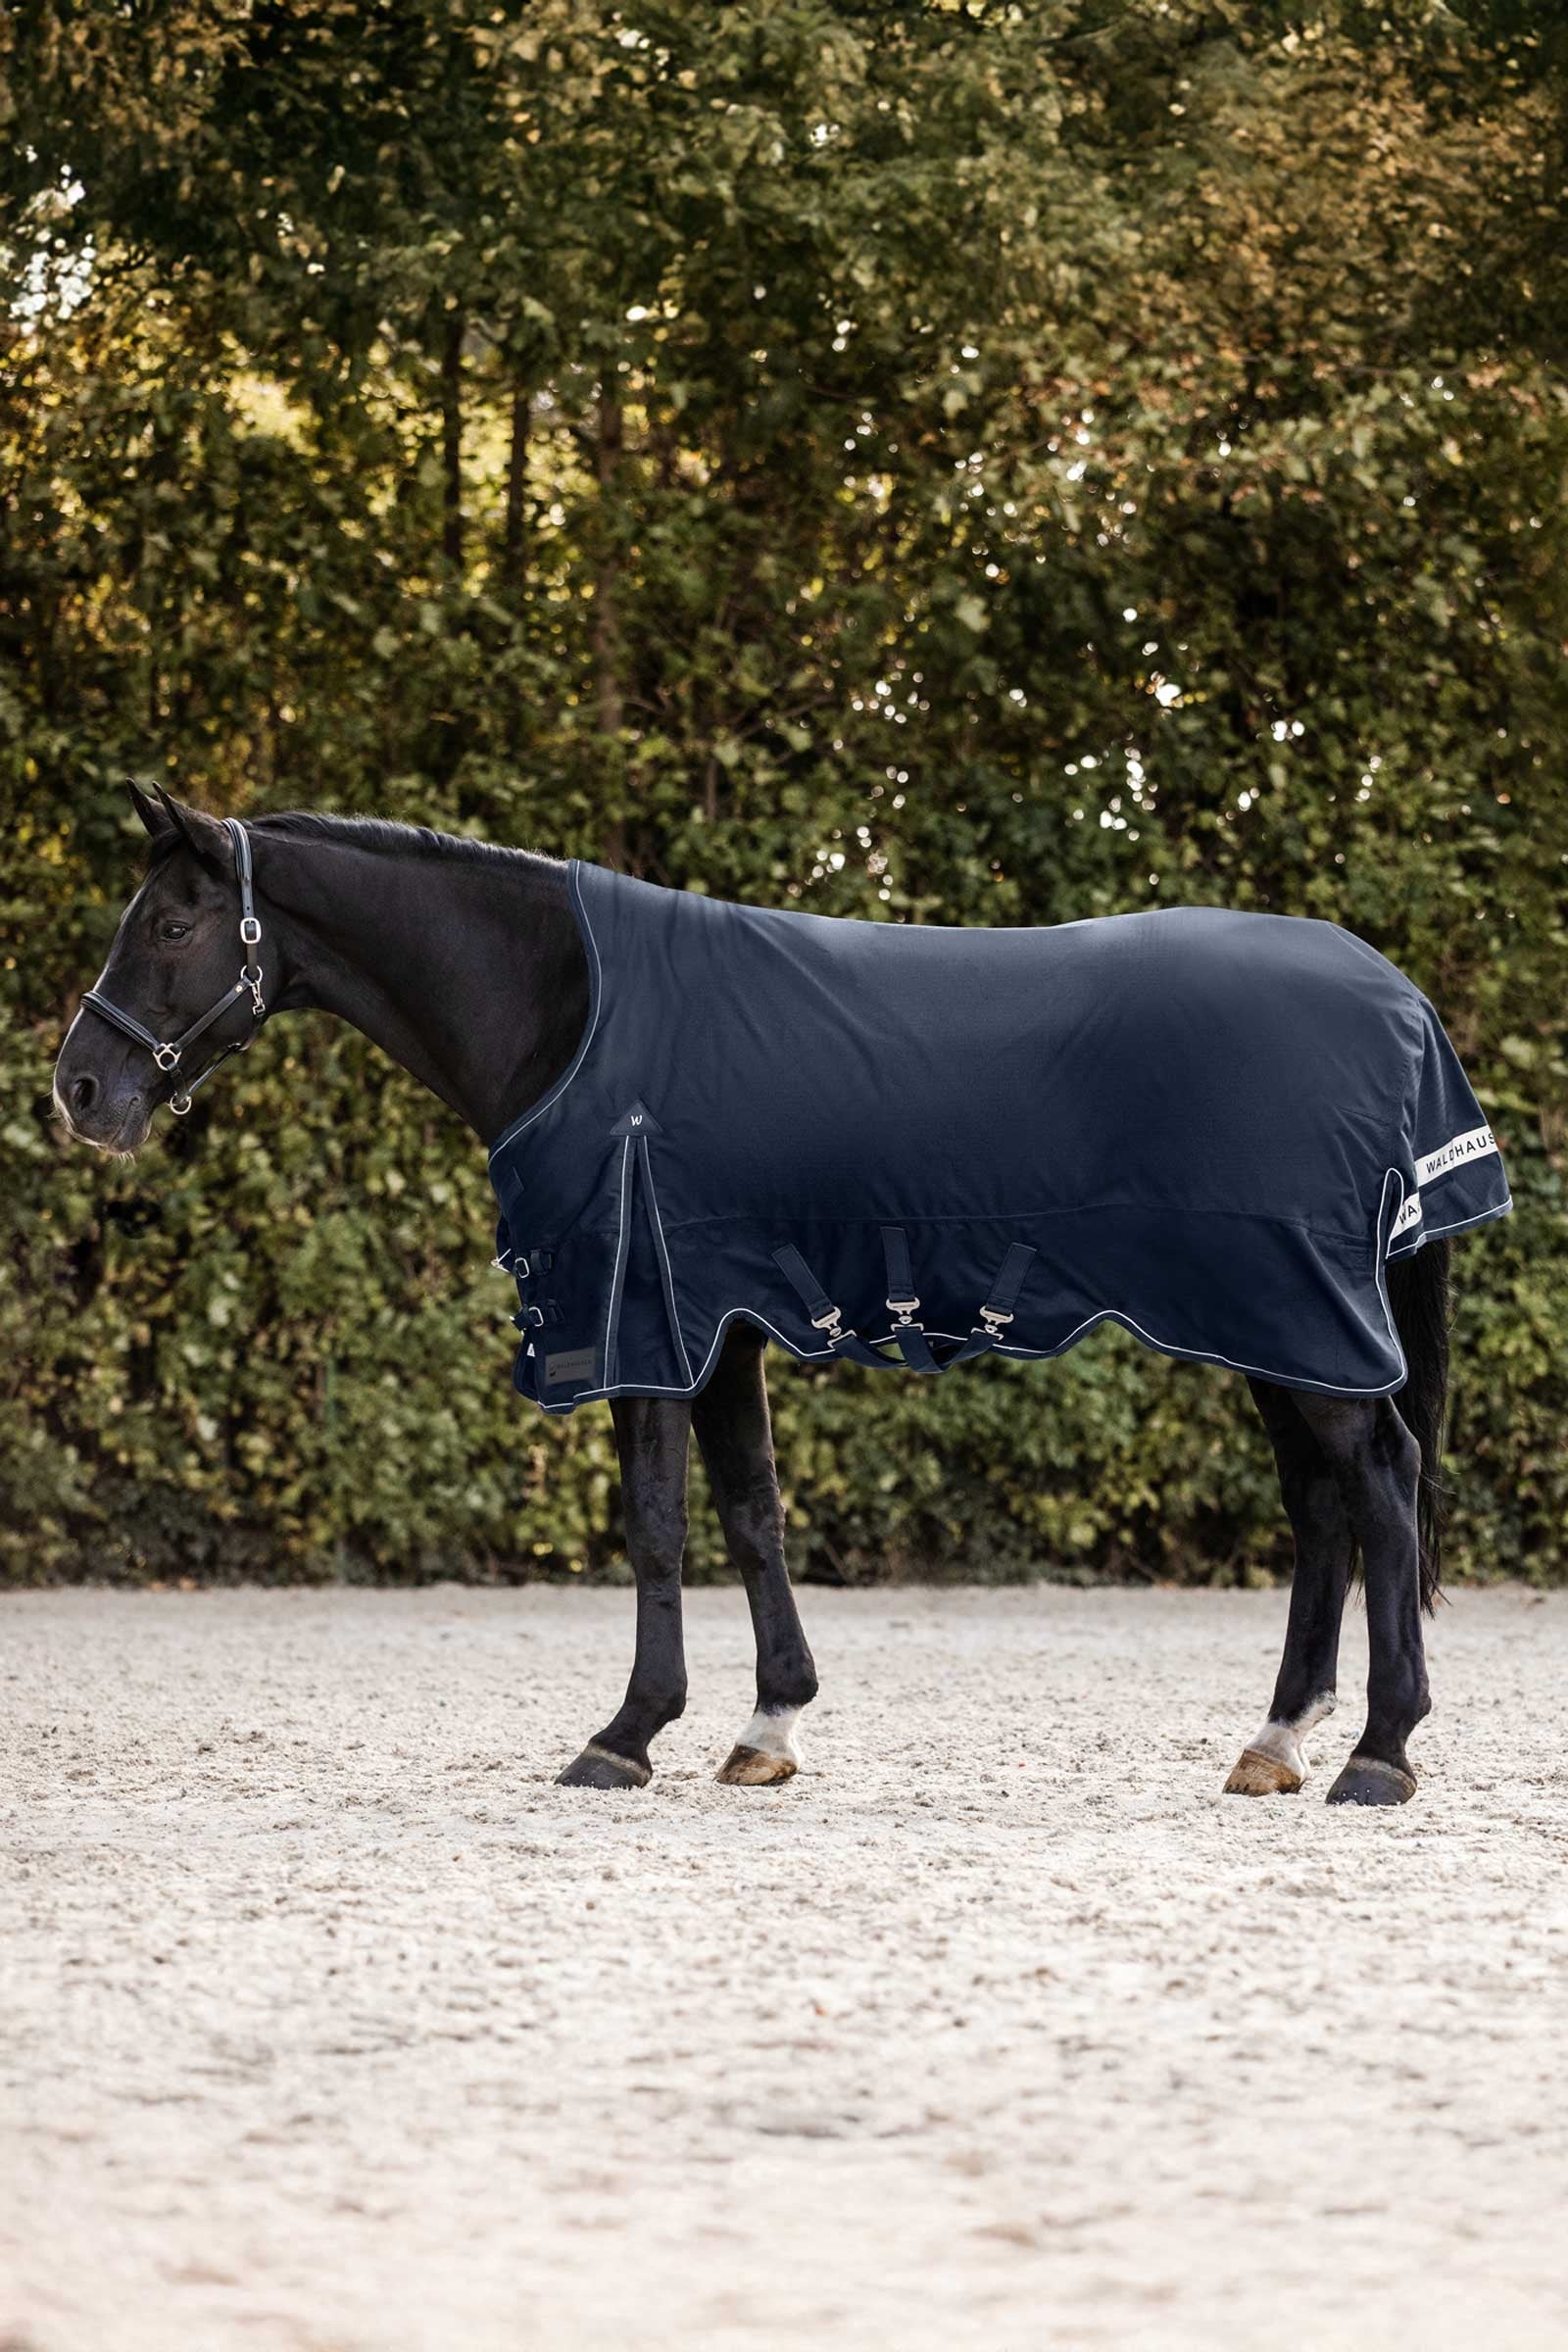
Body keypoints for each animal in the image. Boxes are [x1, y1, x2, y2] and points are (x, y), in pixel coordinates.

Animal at [53, 784, 1500, 1805]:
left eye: (172, 924)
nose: (79, 1090)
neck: (573, 1012)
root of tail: (1395, 999)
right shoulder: (720, 1327)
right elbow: (752, 1516)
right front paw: (767, 1722)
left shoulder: (645, 1321)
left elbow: (656, 1525)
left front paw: (626, 1734)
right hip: (1275, 1327)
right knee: (1322, 1509)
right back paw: (1277, 1741)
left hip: (1294, 1312)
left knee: (1377, 1483)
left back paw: (1379, 1753)